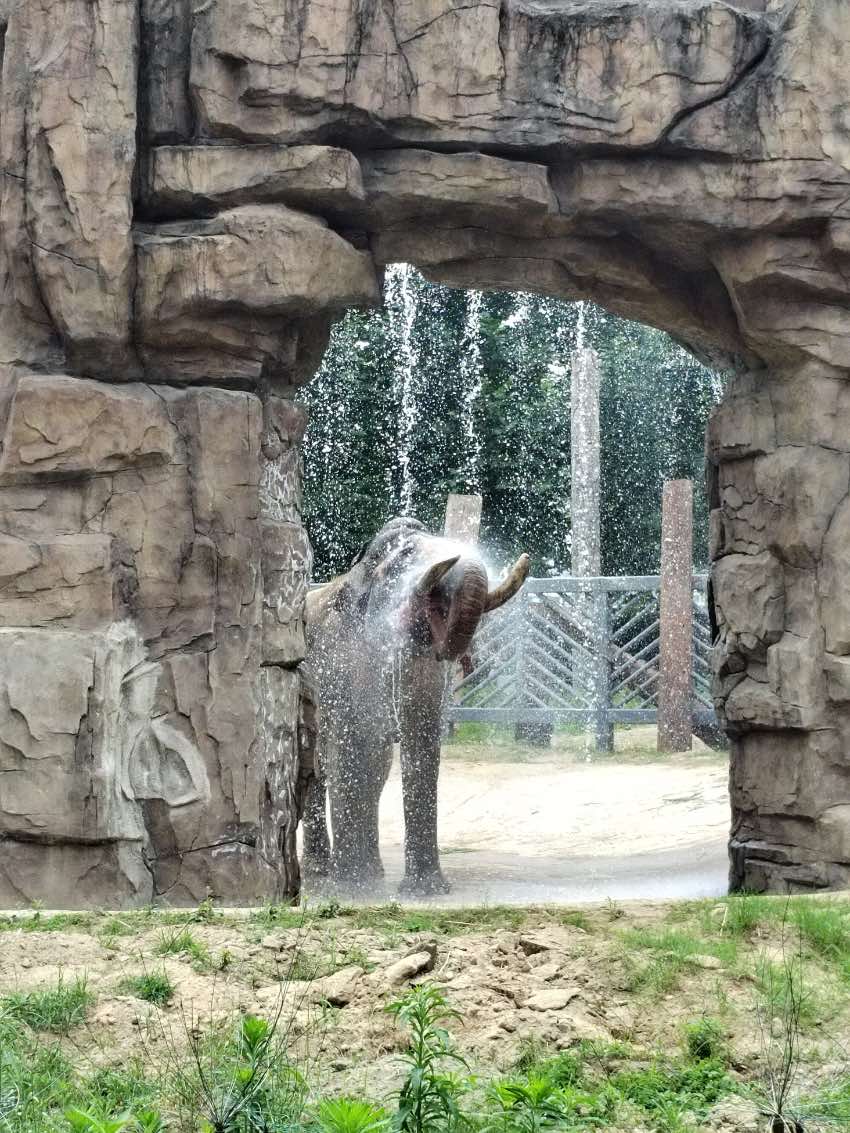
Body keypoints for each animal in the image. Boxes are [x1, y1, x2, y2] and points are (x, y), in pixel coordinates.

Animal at [299, 518, 525, 897]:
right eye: (405, 555)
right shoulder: (338, 660)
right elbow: (354, 748)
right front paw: (355, 890)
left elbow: (402, 748)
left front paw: (423, 892)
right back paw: (320, 874)